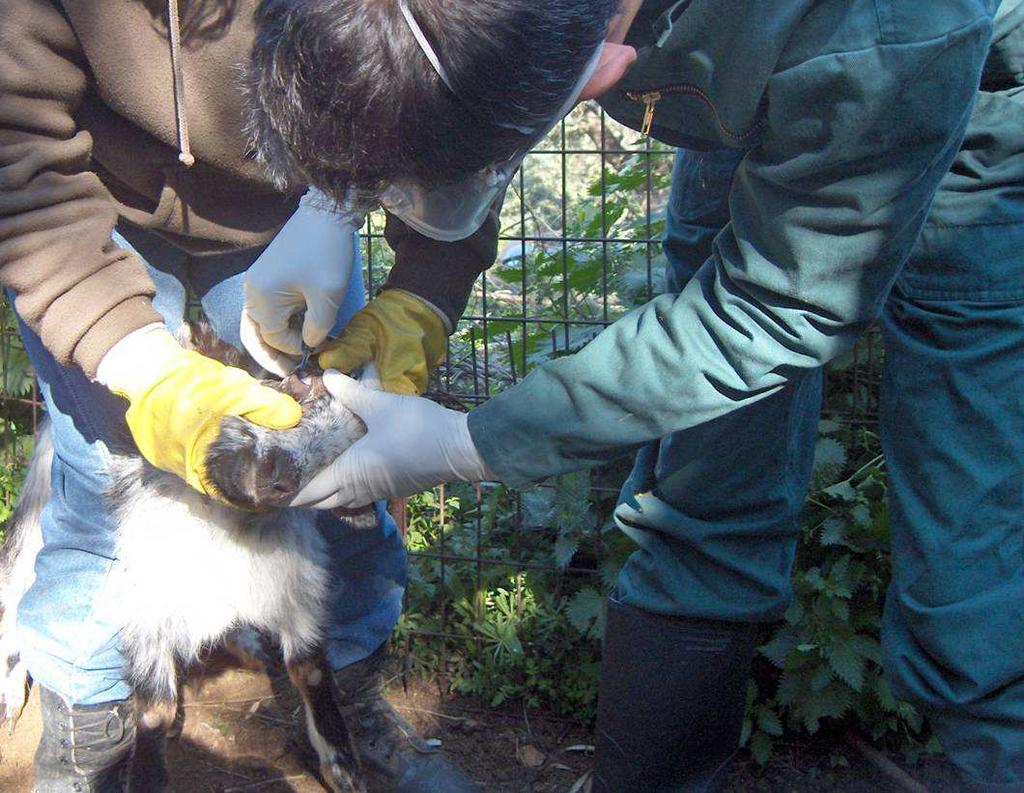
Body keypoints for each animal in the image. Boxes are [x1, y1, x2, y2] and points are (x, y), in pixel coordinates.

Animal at [0, 323, 376, 793]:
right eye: (298, 387)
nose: (270, 474)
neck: (227, 525)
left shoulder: (293, 588)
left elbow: (308, 669)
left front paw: (342, 764)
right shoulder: (147, 605)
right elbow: (156, 710)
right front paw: (146, 776)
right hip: (41, 506)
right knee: (17, 596)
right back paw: (10, 694)